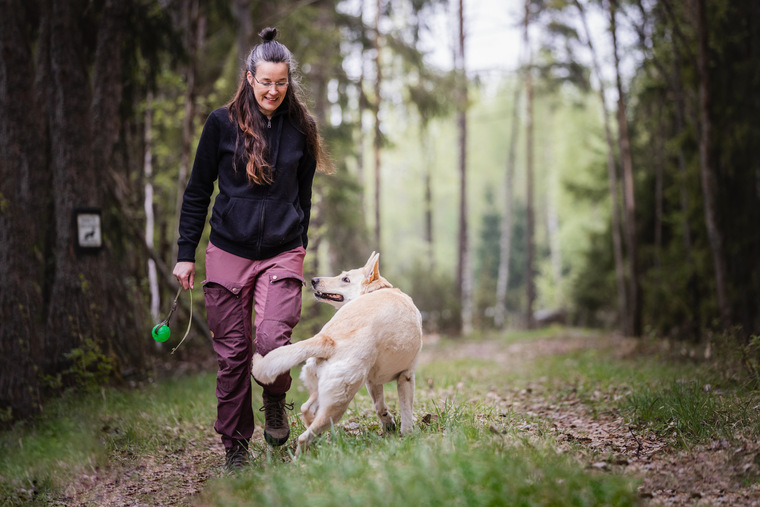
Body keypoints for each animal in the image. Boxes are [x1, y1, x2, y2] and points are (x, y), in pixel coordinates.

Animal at [254, 252, 422, 454]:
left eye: (345, 279)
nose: (314, 280)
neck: (376, 290)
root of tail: (327, 339)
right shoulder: (406, 376)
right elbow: (406, 410)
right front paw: (409, 436)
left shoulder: (372, 382)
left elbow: (379, 406)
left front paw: (388, 423)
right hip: (339, 403)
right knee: (304, 436)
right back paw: (304, 457)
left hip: (324, 391)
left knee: (306, 409)